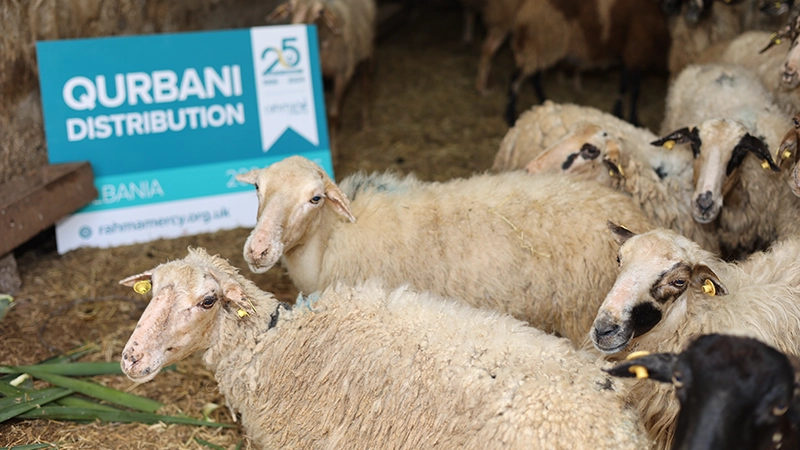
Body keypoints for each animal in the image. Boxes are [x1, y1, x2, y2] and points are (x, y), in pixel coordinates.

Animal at [235, 155, 655, 345]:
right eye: (257, 188)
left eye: (316, 198)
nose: (258, 249)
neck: (330, 240)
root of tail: (637, 217)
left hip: (582, 314)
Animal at [267, 0, 376, 160]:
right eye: (290, 6)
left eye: (320, 12)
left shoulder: (341, 74)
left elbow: (334, 115)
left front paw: (334, 153)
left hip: (366, 50)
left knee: (365, 85)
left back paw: (366, 123)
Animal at [504, 0, 671, 126]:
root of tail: (523, 13)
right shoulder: (635, 54)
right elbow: (632, 90)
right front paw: (630, 118)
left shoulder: (630, 58)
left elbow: (627, 88)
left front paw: (622, 114)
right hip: (541, 46)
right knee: (516, 79)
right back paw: (511, 116)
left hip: (542, 50)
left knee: (534, 78)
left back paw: (543, 103)